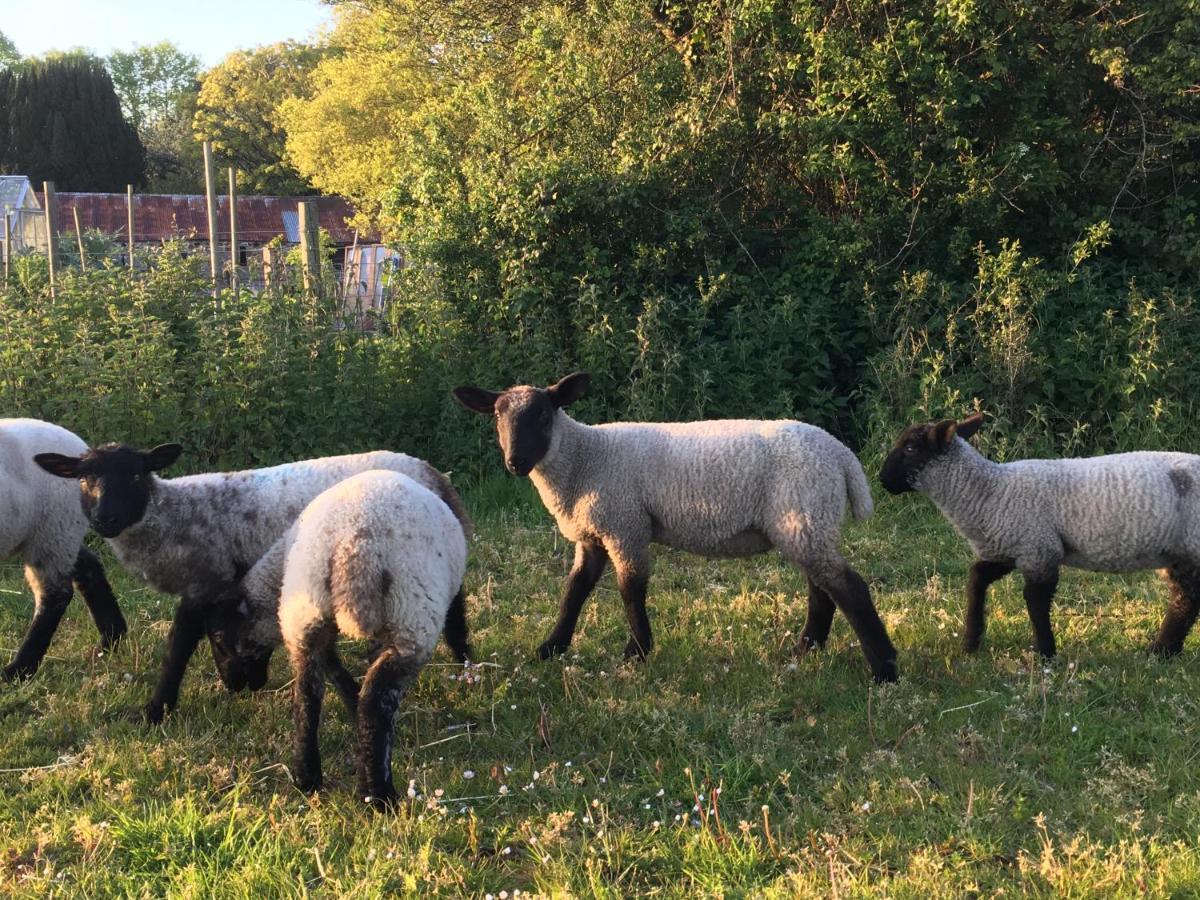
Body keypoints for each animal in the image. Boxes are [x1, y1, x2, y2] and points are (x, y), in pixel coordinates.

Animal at [0, 420, 125, 681]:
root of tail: (80, 451)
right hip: (60, 531)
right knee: (88, 566)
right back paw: (110, 640)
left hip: (52, 528)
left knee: (56, 594)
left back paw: (18, 670)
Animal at [32, 446, 468, 724]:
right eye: (84, 478)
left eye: (138, 474)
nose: (104, 519)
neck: (175, 514)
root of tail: (432, 472)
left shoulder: (206, 581)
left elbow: (180, 644)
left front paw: (156, 710)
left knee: (454, 610)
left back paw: (465, 666)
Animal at [208, 472, 465, 811]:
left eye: (219, 638)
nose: (232, 684)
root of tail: (350, 551)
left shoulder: (319, 631)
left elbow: (336, 668)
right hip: (411, 622)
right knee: (374, 705)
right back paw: (379, 795)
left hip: (305, 618)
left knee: (306, 699)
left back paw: (308, 777)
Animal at [453, 374, 897, 681]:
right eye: (497, 416)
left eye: (543, 414)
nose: (515, 462)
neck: (585, 458)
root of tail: (841, 456)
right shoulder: (594, 533)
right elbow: (575, 591)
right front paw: (551, 647)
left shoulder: (626, 525)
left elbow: (630, 590)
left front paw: (637, 651)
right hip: (807, 521)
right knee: (823, 588)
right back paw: (806, 649)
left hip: (803, 514)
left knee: (849, 588)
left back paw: (884, 670)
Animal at [878, 412, 1200, 657]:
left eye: (910, 449)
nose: (882, 480)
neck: (989, 493)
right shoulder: (1010, 546)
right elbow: (976, 577)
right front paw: (971, 641)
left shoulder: (1039, 549)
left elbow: (1035, 601)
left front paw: (1045, 652)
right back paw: (1163, 651)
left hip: (1190, 545)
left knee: (1186, 601)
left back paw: (1160, 651)